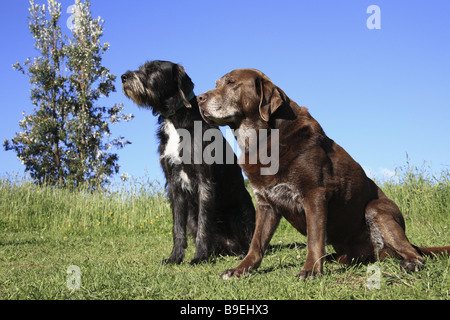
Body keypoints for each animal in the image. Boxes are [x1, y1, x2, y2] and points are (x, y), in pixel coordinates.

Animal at [121, 60, 255, 264]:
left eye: (152, 69)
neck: (175, 120)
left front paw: (199, 256)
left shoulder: (204, 181)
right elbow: (177, 227)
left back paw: (241, 252)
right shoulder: (174, 183)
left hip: (241, 213)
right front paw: (174, 257)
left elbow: (204, 225)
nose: (123, 77)